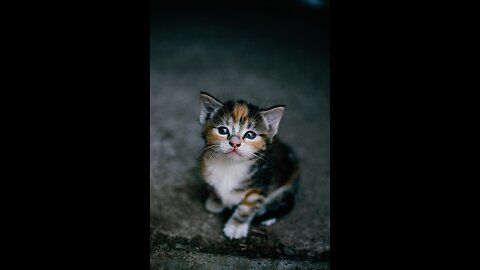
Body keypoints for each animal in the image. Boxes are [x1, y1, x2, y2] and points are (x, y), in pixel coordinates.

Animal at [197, 92, 298, 239]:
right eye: (223, 130)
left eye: (250, 135)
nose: (234, 143)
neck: (230, 165)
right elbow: (213, 187)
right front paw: (215, 202)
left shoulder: (259, 187)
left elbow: (247, 208)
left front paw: (236, 226)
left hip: (287, 184)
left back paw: (267, 216)